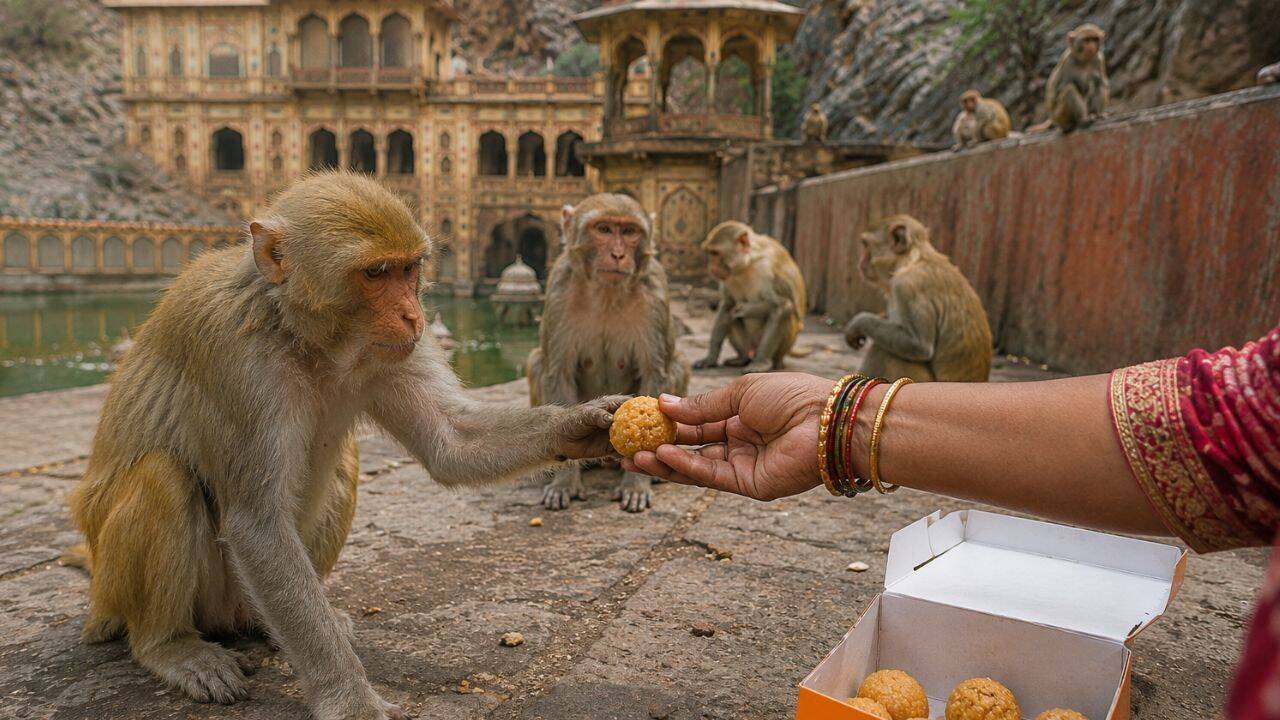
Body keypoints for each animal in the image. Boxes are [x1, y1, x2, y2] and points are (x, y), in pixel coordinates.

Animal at [64, 171, 622, 719]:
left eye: (409, 269)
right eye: (375, 273)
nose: (414, 316)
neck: (299, 334)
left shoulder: (392, 351)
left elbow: (451, 444)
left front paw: (583, 425)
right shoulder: (235, 357)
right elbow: (257, 525)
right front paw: (351, 698)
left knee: (343, 465)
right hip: (132, 591)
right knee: (163, 476)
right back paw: (170, 646)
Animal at [525, 193, 689, 513]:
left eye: (629, 231)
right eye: (603, 229)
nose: (617, 254)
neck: (606, 292)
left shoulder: (655, 293)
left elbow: (656, 372)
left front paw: (638, 482)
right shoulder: (559, 291)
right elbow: (557, 373)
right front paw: (565, 482)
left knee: (678, 363)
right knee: (537, 361)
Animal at [694, 221, 806, 375]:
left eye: (715, 253)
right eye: (710, 253)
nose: (711, 267)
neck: (748, 262)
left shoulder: (769, 269)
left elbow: (781, 306)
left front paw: (760, 362)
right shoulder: (728, 277)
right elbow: (728, 304)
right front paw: (710, 358)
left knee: (786, 314)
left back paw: (773, 362)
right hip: (748, 345)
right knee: (732, 315)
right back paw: (742, 358)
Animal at [843, 215, 992, 383]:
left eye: (866, 245)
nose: (861, 261)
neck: (911, 260)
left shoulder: (906, 286)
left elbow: (919, 346)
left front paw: (859, 322)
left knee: (885, 351)